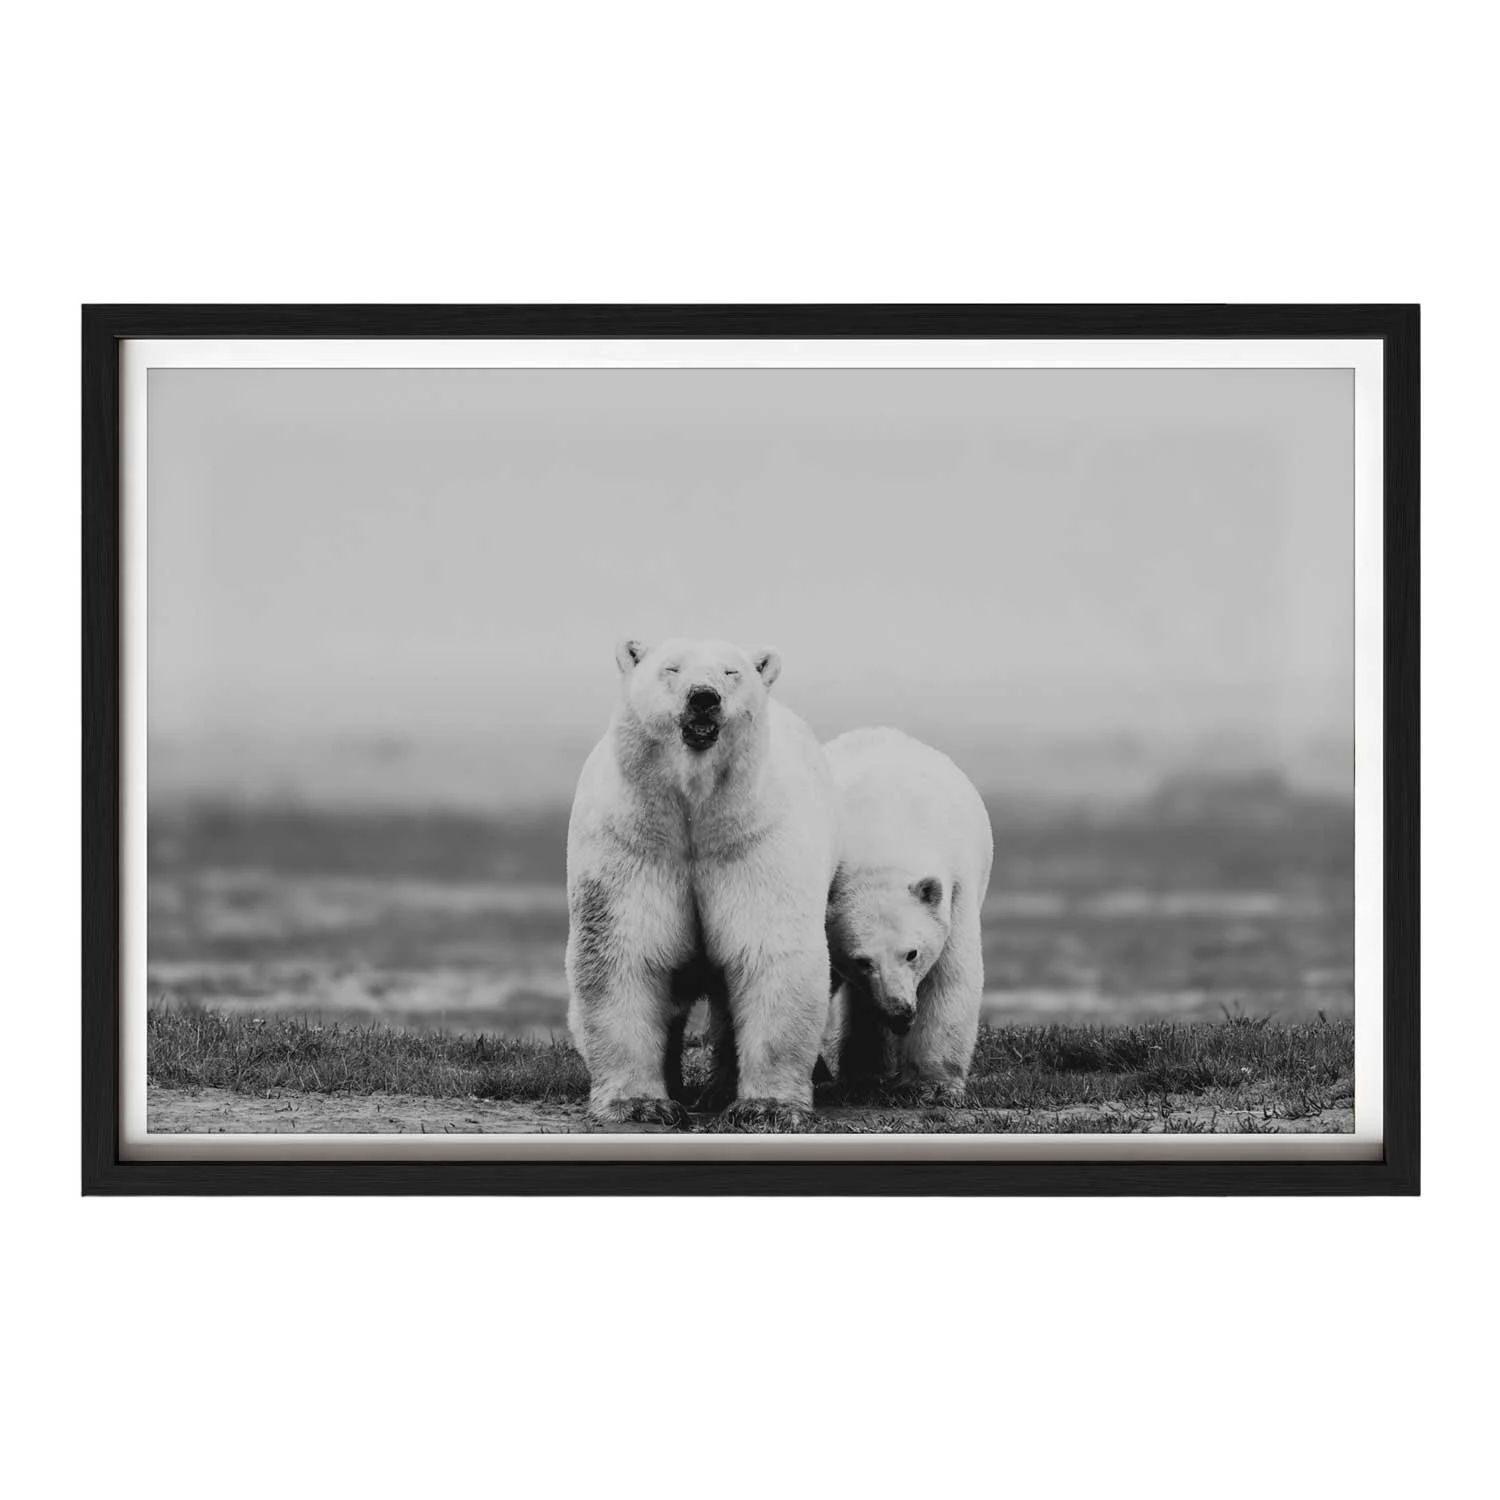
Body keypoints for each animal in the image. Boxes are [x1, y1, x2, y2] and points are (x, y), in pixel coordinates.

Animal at [565, 637, 840, 1129]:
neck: (694, 812)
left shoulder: (753, 841)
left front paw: (765, 1106)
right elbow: (624, 953)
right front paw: (641, 1104)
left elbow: (768, 952)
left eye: (732, 672)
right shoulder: (633, 842)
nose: (704, 698)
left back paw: (720, 1090)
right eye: (671, 668)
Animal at [819, 727, 994, 1104]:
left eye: (912, 953)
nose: (899, 1013)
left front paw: (933, 1084)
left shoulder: (955, 889)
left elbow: (948, 977)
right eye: (861, 961)